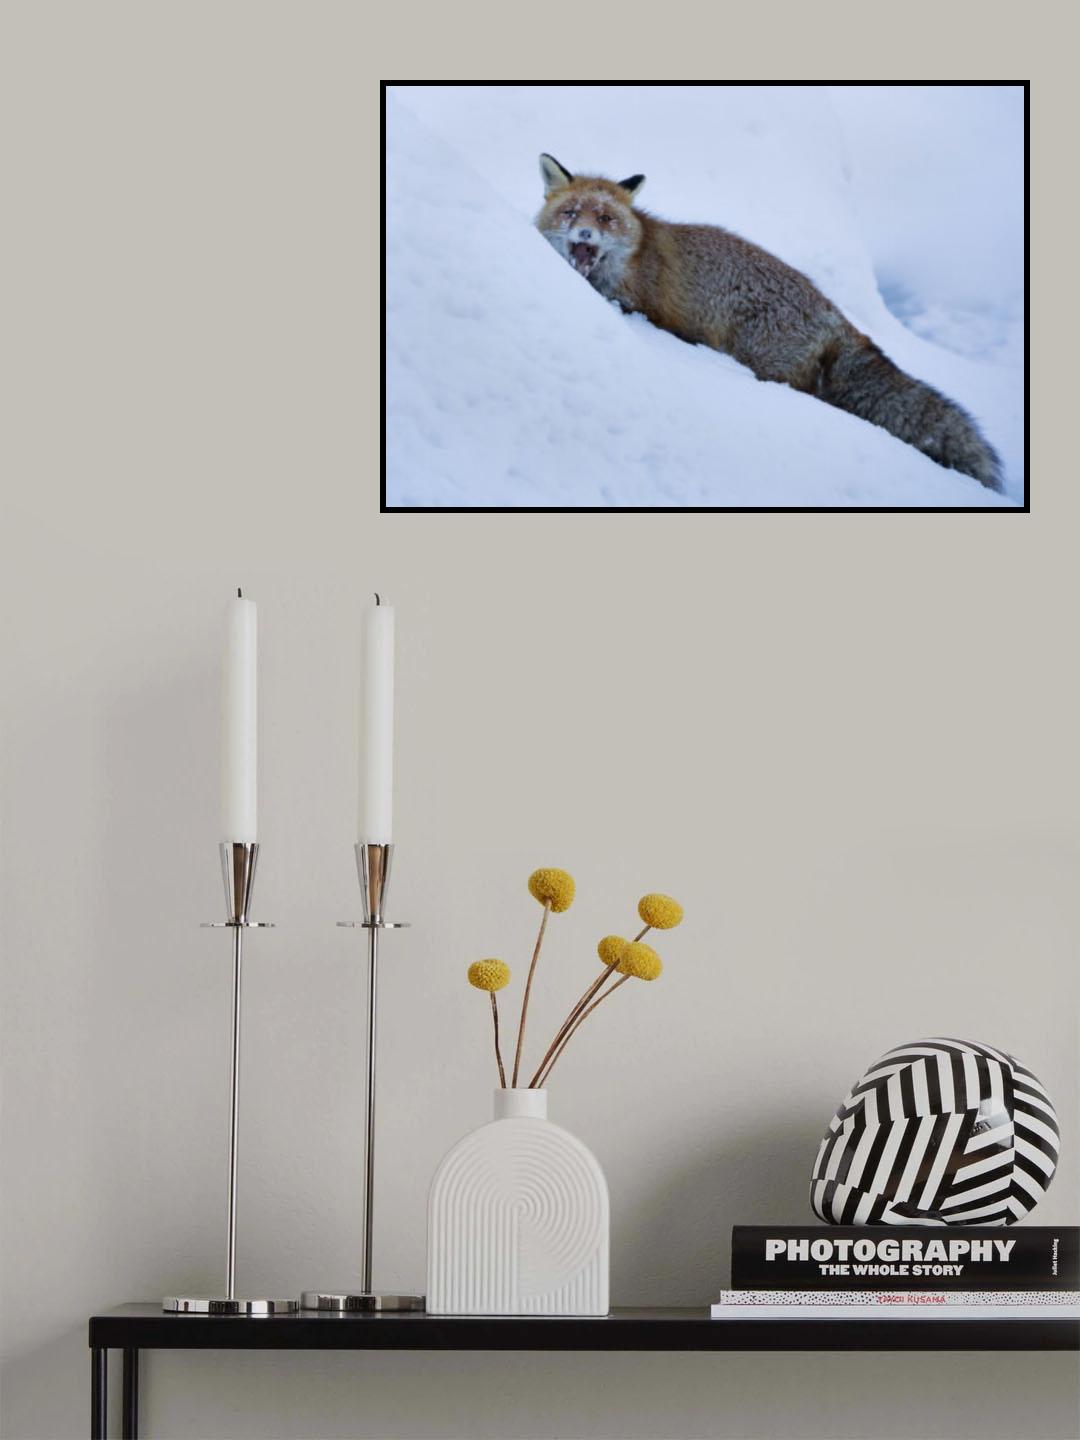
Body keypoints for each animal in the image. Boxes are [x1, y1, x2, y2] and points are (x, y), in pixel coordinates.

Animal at [535, 154, 1002, 491]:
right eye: (572, 213)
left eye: (605, 219)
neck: (629, 261)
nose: (585, 236)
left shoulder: (646, 306)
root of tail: (837, 315)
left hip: (764, 364)